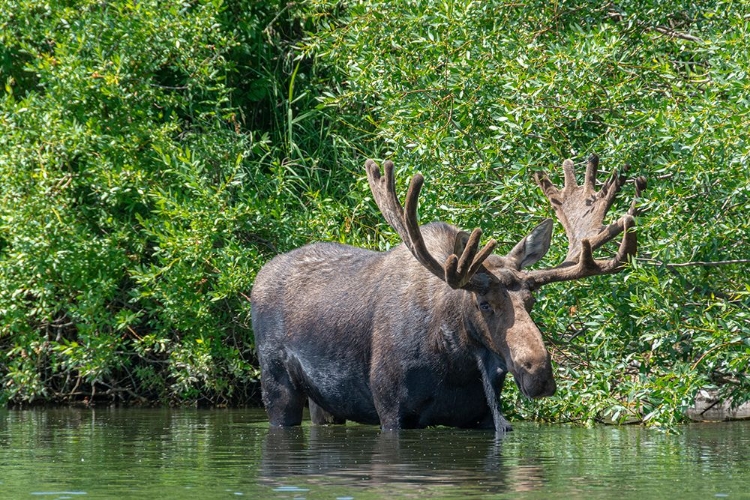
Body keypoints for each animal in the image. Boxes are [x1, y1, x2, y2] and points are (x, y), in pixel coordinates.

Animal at [253, 156, 648, 430]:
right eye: (484, 303)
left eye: (532, 301)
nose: (539, 374)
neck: (456, 359)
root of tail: (258, 278)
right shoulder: (391, 410)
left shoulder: (480, 417)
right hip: (277, 387)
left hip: (325, 403)